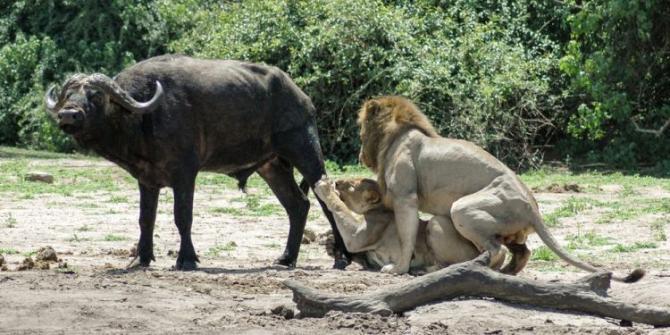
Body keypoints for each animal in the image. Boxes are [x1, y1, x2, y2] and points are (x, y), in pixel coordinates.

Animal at [45, 54, 352, 270]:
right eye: (68, 95)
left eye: (95, 95)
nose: (68, 115)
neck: (144, 116)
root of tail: (302, 97)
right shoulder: (146, 180)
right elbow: (146, 219)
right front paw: (142, 257)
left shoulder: (185, 174)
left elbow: (183, 217)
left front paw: (187, 259)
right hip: (272, 166)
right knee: (298, 205)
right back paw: (286, 258)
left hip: (304, 149)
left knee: (327, 200)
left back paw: (342, 257)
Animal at [316, 178, 484, 272]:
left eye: (351, 185)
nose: (336, 182)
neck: (378, 209)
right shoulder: (365, 253)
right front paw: (330, 244)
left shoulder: (357, 238)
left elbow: (339, 206)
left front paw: (325, 188)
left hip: (436, 222)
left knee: (452, 264)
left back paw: (418, 269)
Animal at [360, 96, 648, 282]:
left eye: (361, 131)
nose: (361, 155)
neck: (395, 136)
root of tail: (533, 207)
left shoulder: (405, 197)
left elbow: (406, 236)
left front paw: (397, 269)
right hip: (510, 230)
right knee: (522, 252)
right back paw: (505, 272)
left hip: (463, 208)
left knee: (495, 251)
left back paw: (466, 270)